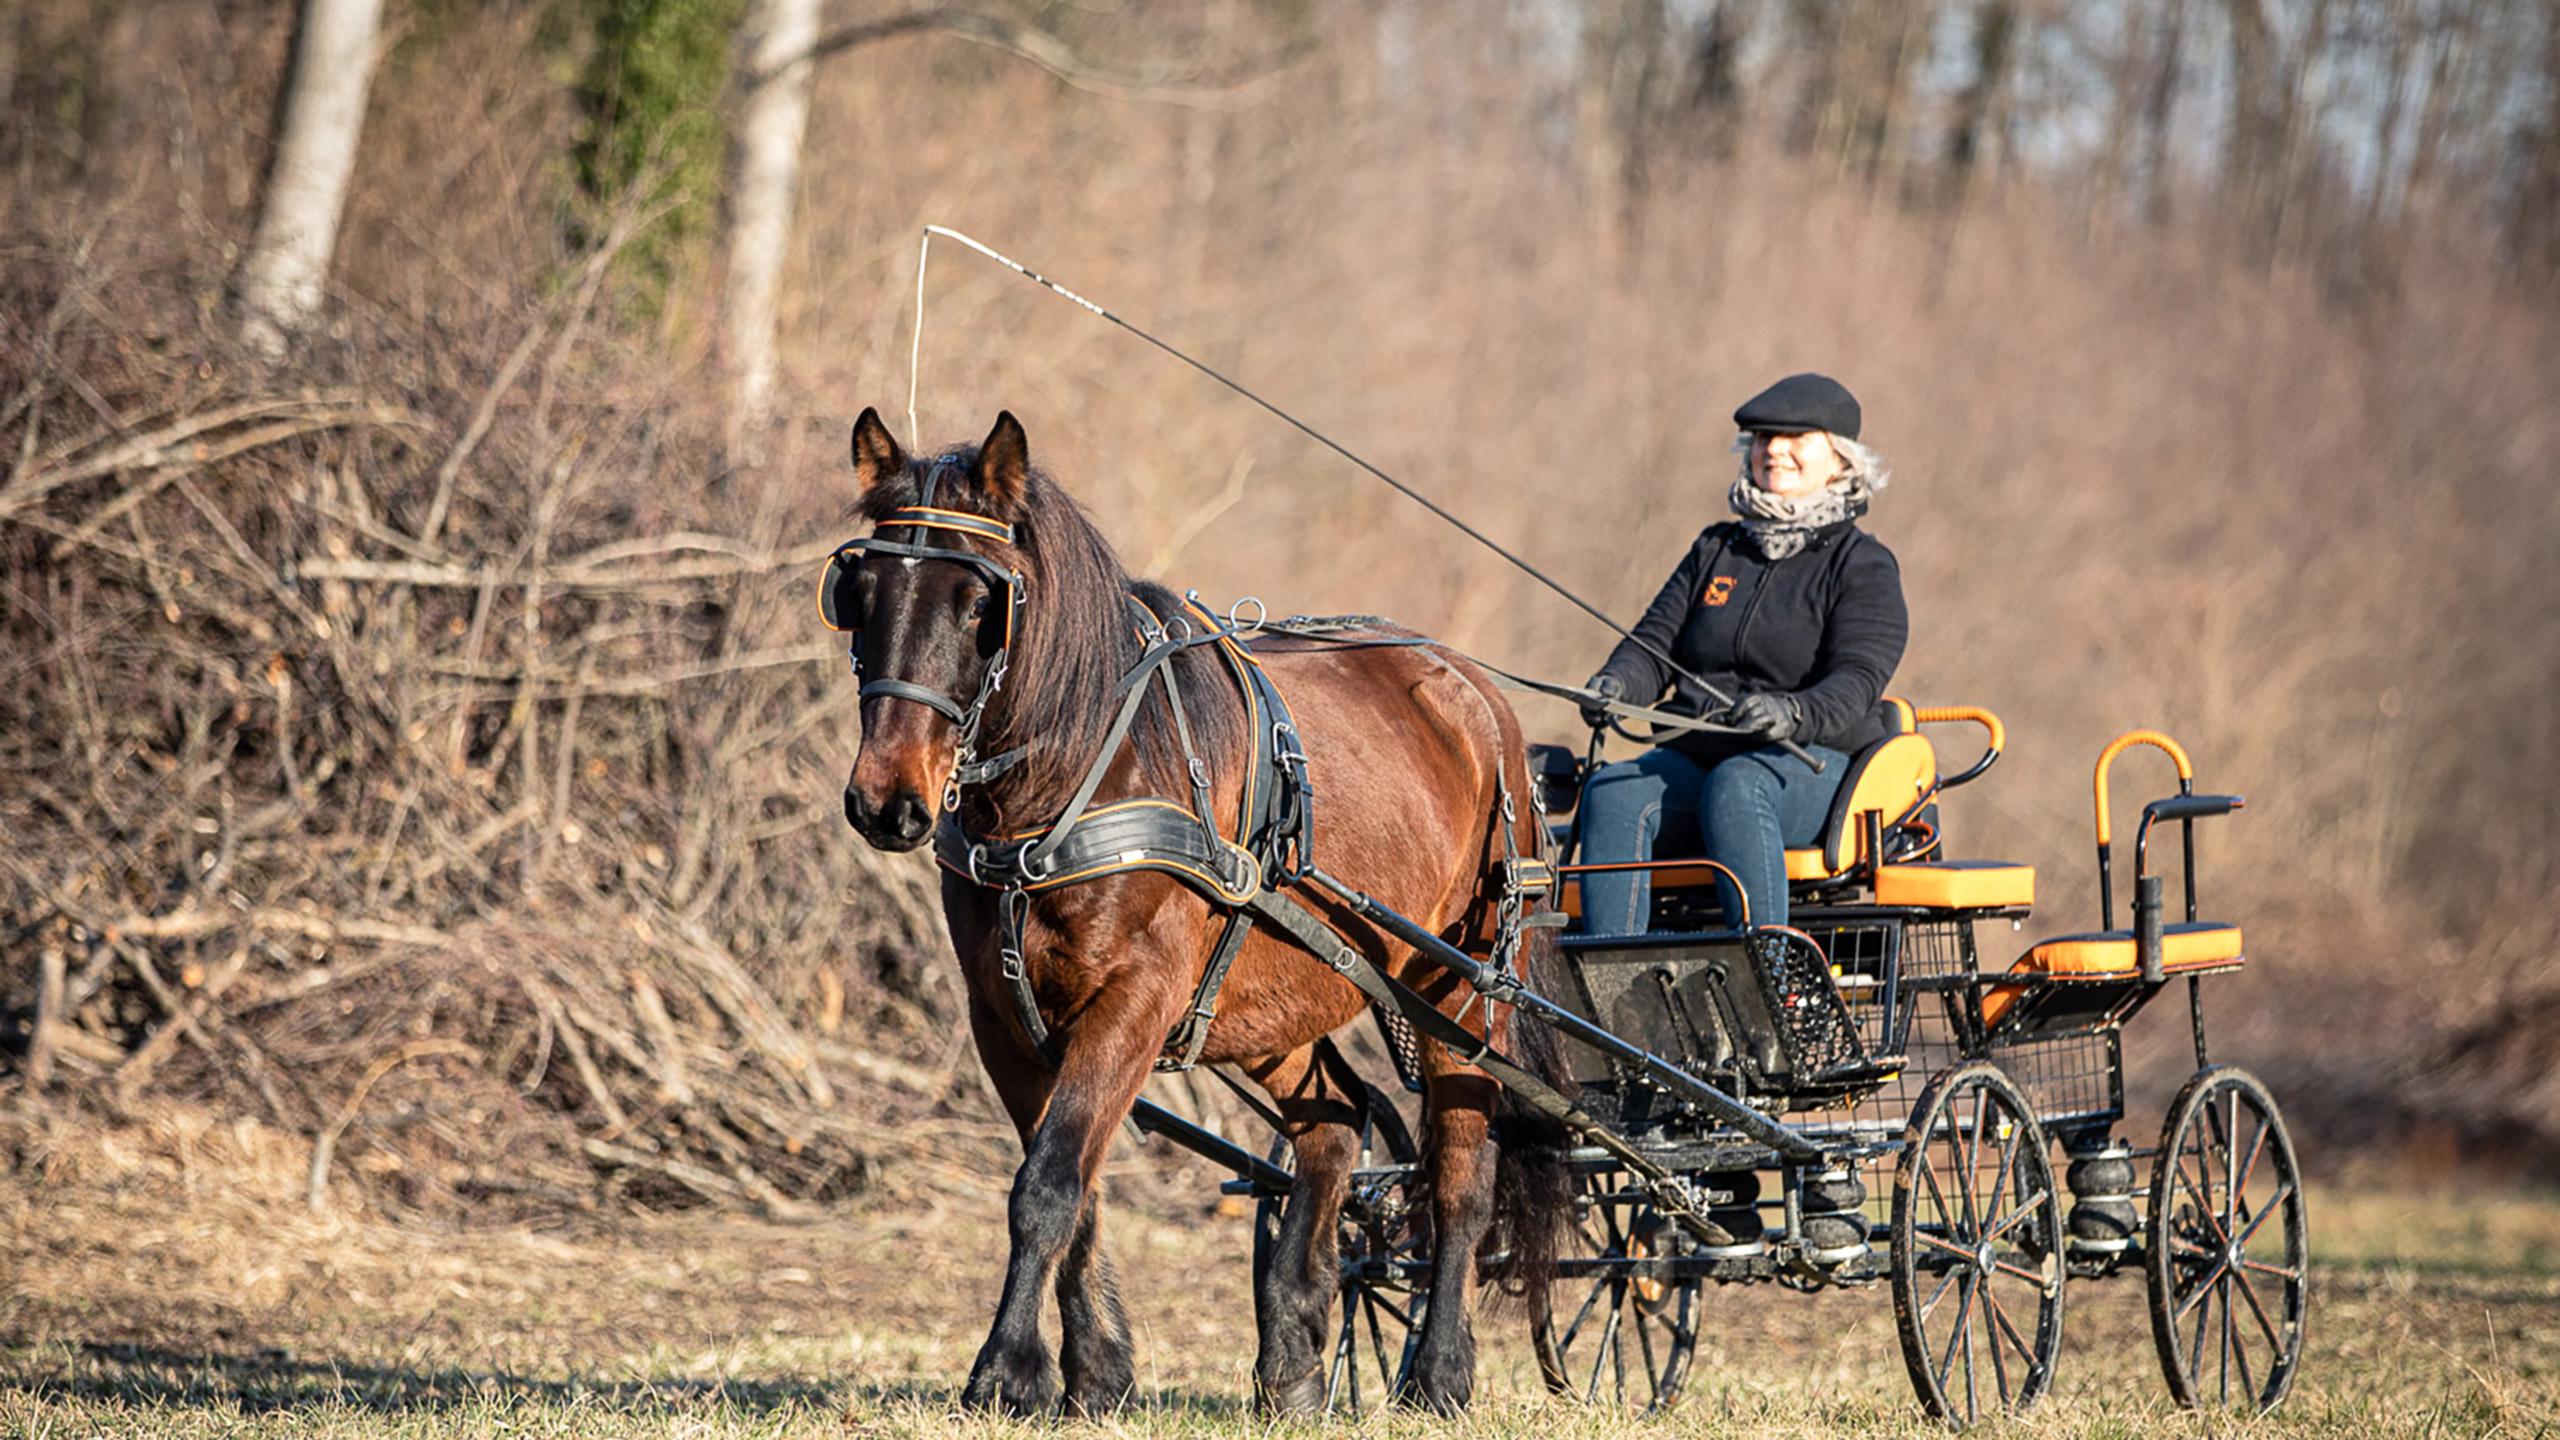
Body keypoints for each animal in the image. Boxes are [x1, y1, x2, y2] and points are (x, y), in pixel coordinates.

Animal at [833, 406, 1567, 1416]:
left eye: (984, 604)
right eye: (858, 589)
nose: (886, 801)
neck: (1075, 778)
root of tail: (1474, 692)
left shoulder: (1135, 999)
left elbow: (1049, 1183)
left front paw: (1006, 1372)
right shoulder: (1004, 1017)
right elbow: (1077, 1186)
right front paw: (1097, 1373)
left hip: (1461, 987)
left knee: (1461, 1169)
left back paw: (1439, 1373)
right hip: (1270, 997)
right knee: (1336, 1119)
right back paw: (1292, 1357)